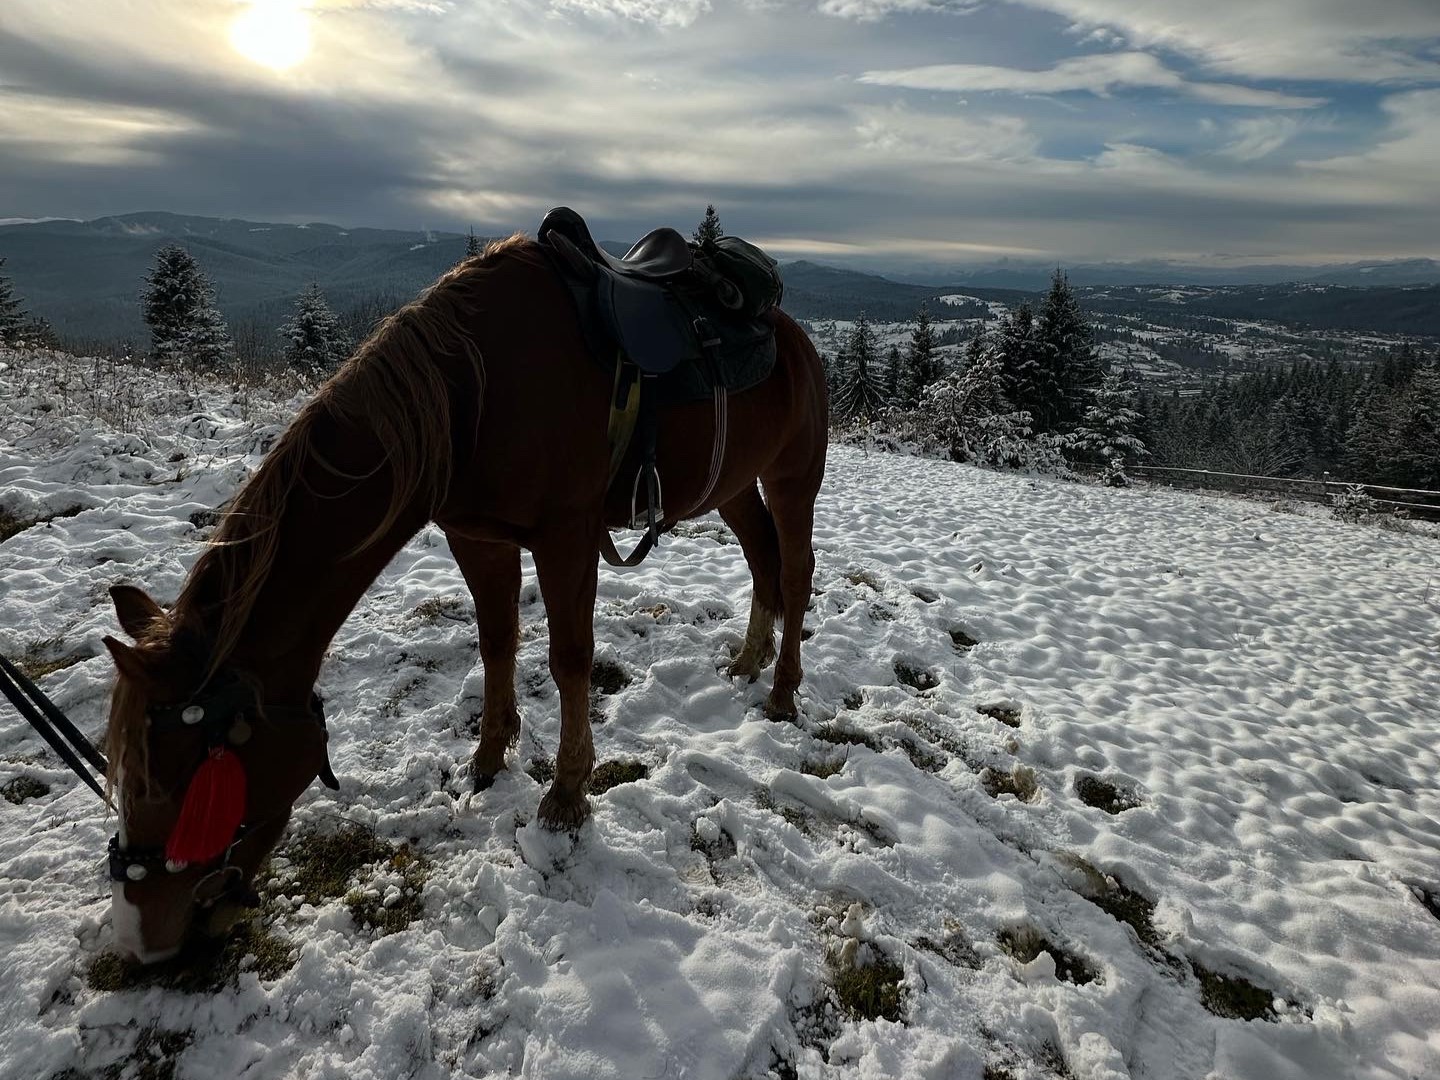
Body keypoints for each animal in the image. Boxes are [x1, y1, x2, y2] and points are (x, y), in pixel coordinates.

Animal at [98, 234, 823, 961]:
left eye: (174, 783)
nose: (137, 939)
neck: (473, 394)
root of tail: (790, 330)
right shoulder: (477, 538)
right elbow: (497, 640)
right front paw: (489, 754)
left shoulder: (566, 536)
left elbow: (569, 658)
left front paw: (566, 793)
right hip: (733, 484)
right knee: (761, 562)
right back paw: (748, 659)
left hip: (792, 478)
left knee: (793, 574)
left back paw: (783, 689)